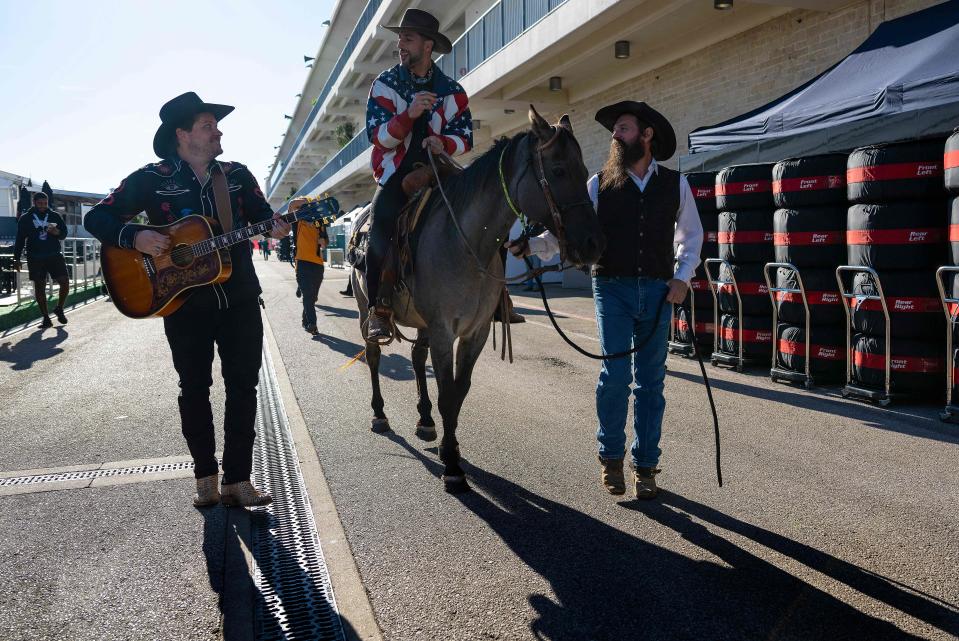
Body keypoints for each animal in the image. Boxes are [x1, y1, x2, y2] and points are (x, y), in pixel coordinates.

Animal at [352, 107, 608, 492]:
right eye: (559, 170)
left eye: (584, 169)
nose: (593, 243)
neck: (465, 242)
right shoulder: (444, 331)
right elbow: (447, 393)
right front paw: (452, 466)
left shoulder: (476, 332)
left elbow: (459, 392)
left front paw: (451, 450)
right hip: (365, 308)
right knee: (373, 356)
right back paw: (379, 413)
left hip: (423, 323)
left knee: (416, 358)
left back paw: (425, 421)